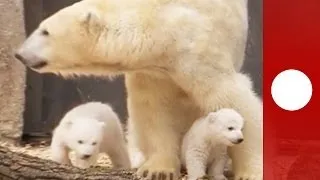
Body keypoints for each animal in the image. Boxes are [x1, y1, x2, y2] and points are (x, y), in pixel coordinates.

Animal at [14, 0, 262, 179]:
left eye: (45, 31)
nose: (19, 53)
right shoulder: (152, 72)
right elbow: (154, 111)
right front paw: (158, 169)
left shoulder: (197, 51)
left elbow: (232, 99)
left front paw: (250, 172)